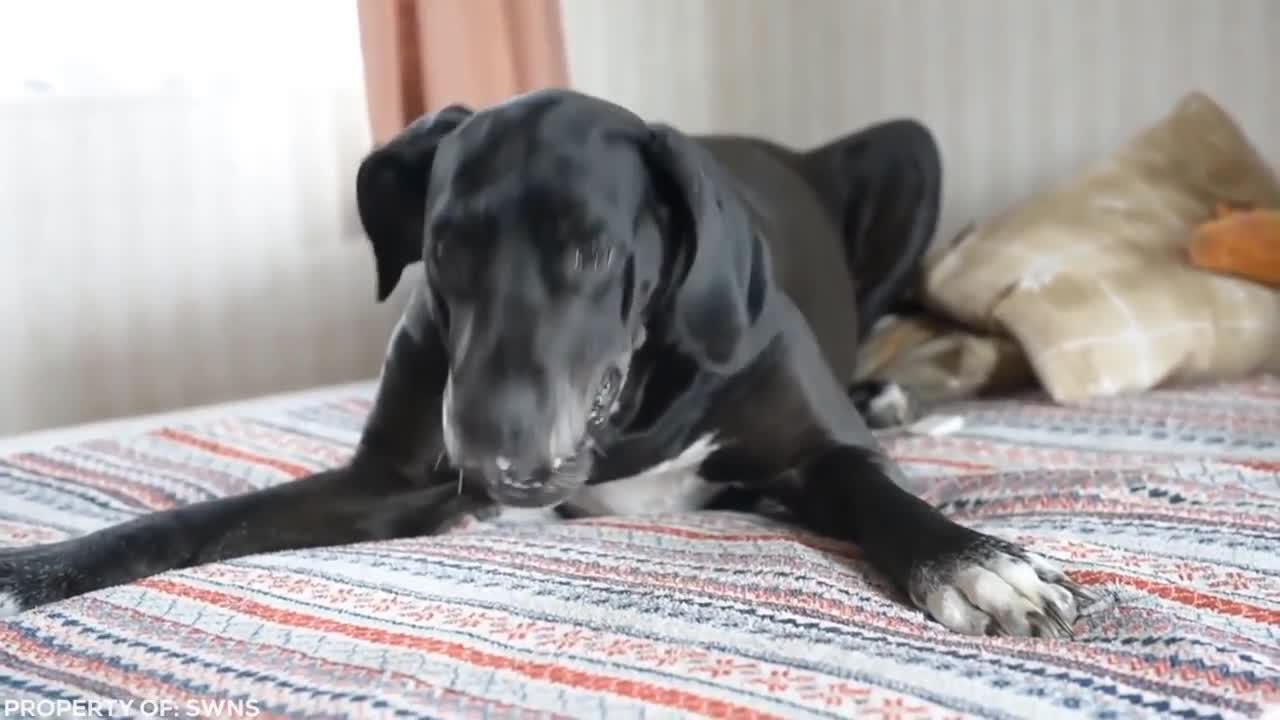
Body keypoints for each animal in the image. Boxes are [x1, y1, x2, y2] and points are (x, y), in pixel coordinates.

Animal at [0, 88, 1090, 632]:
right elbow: (193, 523)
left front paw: (978, 564)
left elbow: (876, 490)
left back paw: (888, 390)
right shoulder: (383, 483)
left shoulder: (813, 451)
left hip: (912, 153)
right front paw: (39, 567)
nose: (486, 450)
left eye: (593, 251)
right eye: (444, 245)